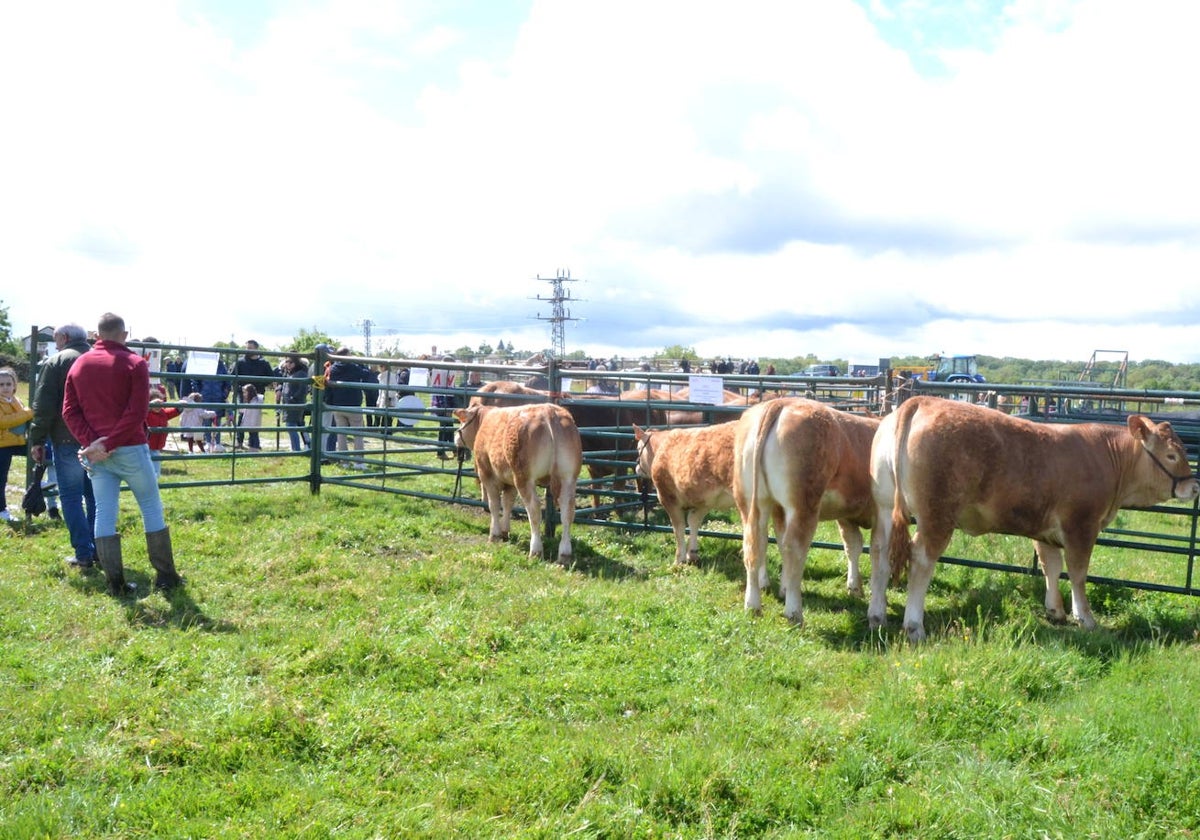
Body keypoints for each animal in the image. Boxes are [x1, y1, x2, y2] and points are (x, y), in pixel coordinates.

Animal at [633, 422, 734, 568]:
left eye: (638, 447)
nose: (636, 468)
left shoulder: (668, 497)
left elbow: (678, 527)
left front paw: (679, 560)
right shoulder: (702, 501)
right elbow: (693, 522)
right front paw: (692, 555)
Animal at [873, 396, 1200, 638]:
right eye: (1171, 455)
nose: (1194, 487)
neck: (1109, 457)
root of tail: (921, 402)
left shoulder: (1046, 531)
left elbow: (1051, 567)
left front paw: (1055, 611)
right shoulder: (1081, 526)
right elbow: (1078, 573)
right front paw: (1085, 618)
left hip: (885, 507)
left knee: (879, 552)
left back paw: (877, 615)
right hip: (936, 515)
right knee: (921, 559)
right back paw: (914, 626)